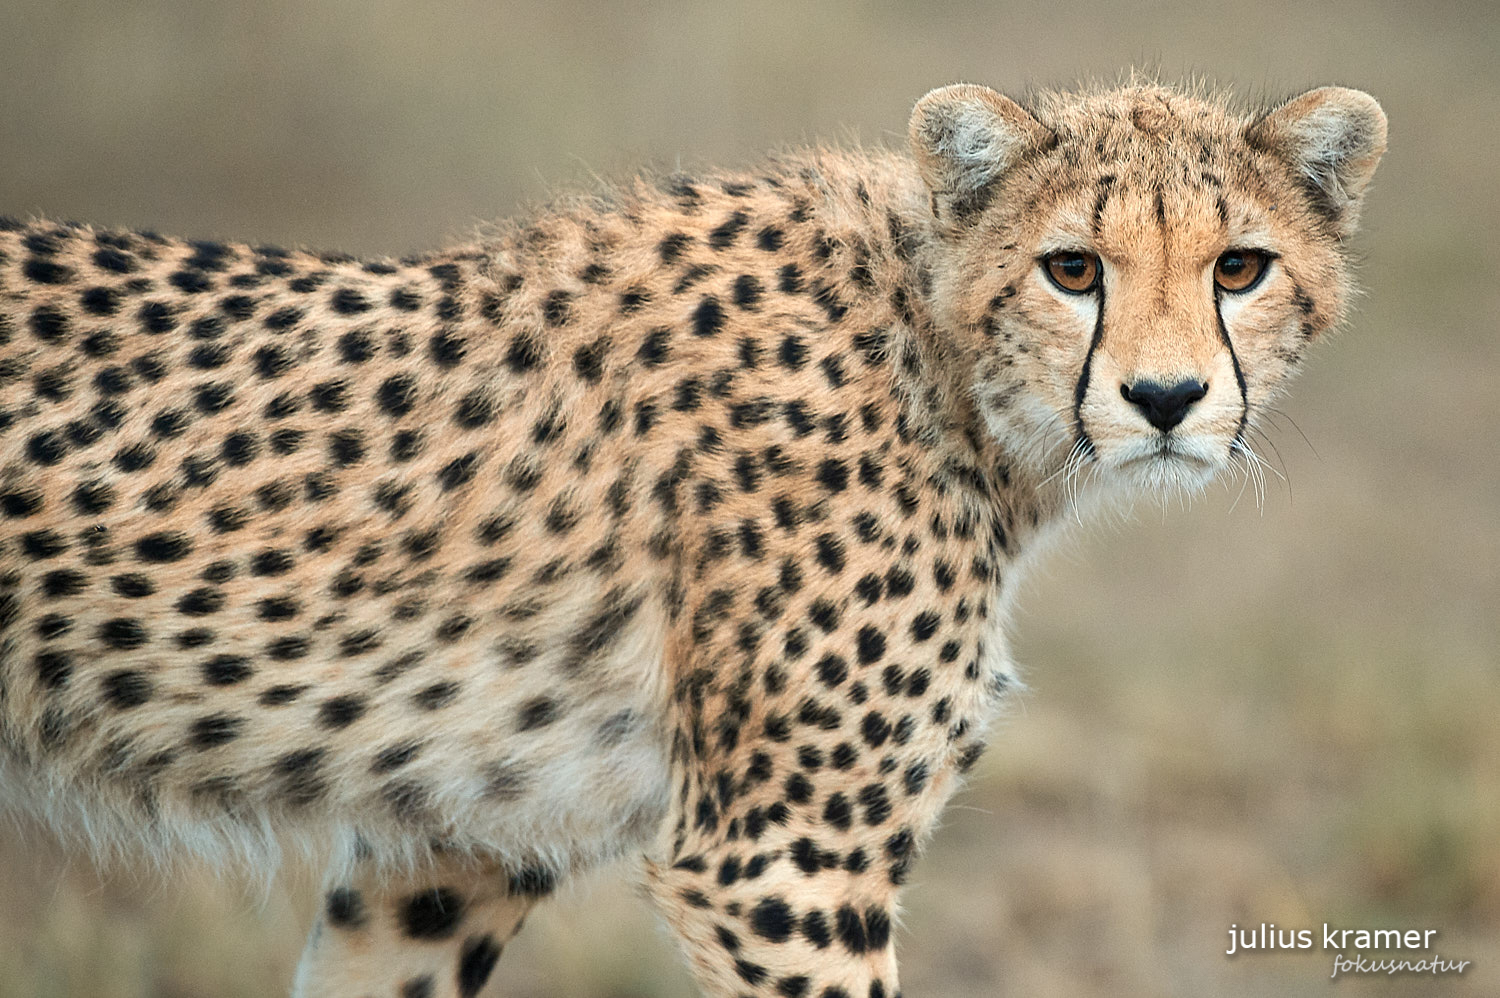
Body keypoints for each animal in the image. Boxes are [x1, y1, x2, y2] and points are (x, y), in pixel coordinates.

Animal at [0, 81, 1380, 990]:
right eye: (1074, 268)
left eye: (1241, 267)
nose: (1166, 398)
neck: (940, 363)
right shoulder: (780, 861)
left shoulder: (449, 846)